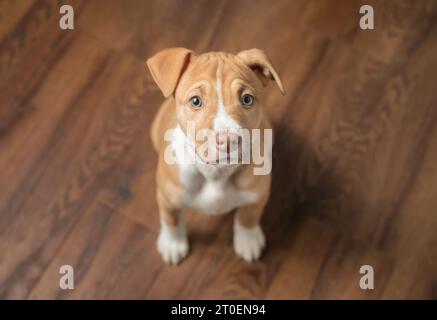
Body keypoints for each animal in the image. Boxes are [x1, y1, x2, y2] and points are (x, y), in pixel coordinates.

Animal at [145, 47, 284, 262]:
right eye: (195, 101)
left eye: (247, 99)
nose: (228, 140)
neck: (216, 173)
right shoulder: (167, 198)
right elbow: (171, 220)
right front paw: (173, 245)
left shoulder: (257, 195)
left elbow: (248, 217)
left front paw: (248, 241)